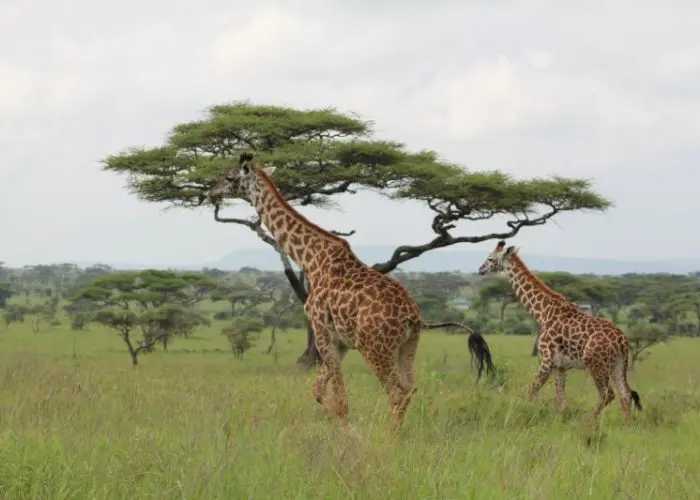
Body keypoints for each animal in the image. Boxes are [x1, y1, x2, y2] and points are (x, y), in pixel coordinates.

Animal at [211, 152, 494, 434]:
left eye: (230, 177)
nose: (212, 190)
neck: (311, 259)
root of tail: (414, 317)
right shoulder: (341, 341)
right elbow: (318, 389)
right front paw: (347, 430)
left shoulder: (321, 330)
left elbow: (340, 398)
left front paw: (348, 435)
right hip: (407, 346)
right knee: (410, 387)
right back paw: (398, 432)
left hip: (375, 348)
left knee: (396, 391)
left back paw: (390, 437)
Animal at [476, 240, 640, 420]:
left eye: (491, 259)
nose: (480, 269)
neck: (542, 312)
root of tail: (622, 341)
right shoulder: (560, 366)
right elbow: (561, 399)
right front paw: (559, 419)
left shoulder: (547, 360)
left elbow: (532, 390)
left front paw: (527, 414)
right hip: (618, 364)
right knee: (625, 394)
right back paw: (626, 424)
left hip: (595, 363)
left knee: (608, 394)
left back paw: (588, 421)